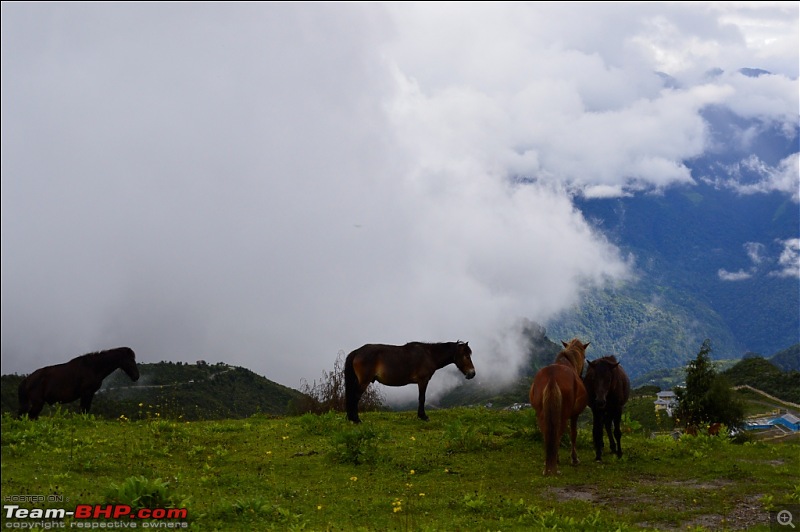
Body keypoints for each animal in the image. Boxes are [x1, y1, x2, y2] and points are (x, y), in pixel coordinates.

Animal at [344, 340, 476, 424]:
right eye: (466, 356)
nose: (472, 373)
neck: (429, 354)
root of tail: (357, 351)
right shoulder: (423, 380)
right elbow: (422, 398)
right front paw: (423, 416)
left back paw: (351, 418)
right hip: (363, 381)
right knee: (355, 397)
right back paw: (356, 419)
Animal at [528, 338, 592, 476]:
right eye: (584, 356)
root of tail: (552, 377)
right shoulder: (574, 415)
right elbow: (573, 434)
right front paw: (574, 458)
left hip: (542, 414)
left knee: (547, 432)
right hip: (562, 415)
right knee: (558, 433)